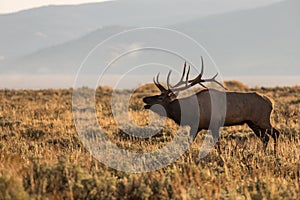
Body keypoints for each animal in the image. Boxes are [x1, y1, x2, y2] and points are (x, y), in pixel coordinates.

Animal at [142, 57, 280, 154]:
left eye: (160, 98)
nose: (144, 99)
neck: (189, 112)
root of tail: (271, 102)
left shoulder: (213, 124)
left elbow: (216, 144)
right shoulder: (198, 126)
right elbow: (190, 142)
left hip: (262, 119)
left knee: (275, 133)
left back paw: (275, 154)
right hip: (252, 122)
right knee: (265, 138)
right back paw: (263, 153)